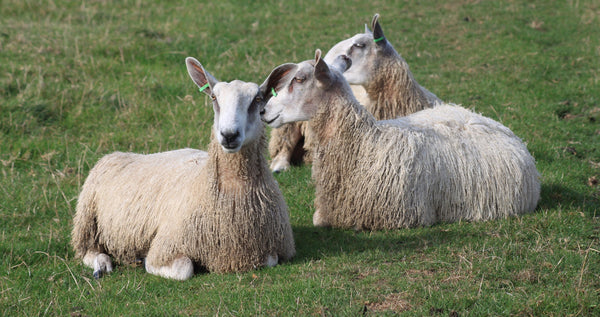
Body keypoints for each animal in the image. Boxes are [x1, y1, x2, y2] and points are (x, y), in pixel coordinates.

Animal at [71, 56, 296, 278]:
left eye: (257, 100)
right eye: (214, 98)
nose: (229, 135)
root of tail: (117, 154)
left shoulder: (270, 250)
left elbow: (271, 260)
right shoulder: (166, 246)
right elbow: (183, 269)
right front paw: (144, 261)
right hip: (86, 222)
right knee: (87, 251)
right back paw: (102, 264)